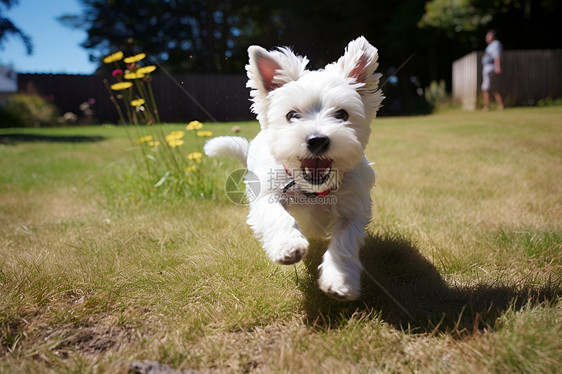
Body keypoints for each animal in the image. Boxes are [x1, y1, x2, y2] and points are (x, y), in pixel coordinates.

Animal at [203, 35, 382, 300]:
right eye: (292, 115)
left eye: (342, 114)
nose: (317, 140)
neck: (314, 191)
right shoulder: (268, 195)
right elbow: (278, 216)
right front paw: (288, 246)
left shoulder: (353, 210)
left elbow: (344, 243)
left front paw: (340, 279)